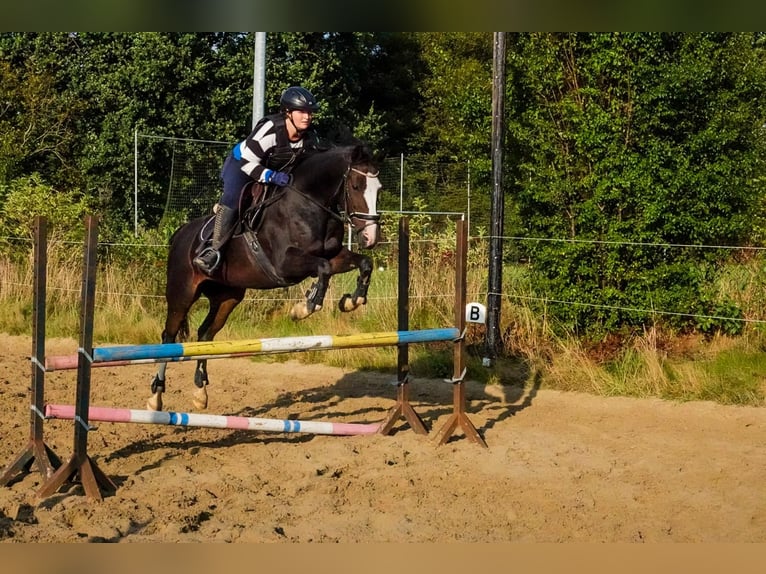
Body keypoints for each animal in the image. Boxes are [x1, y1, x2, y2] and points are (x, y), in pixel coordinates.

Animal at [147, 144, 383, 411]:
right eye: (356, 185)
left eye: (379, 189)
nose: (370, 237)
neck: (309, 203)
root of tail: (179, 234)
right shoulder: (285, 264)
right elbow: (322, 268)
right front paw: (305, 306)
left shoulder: (334, 255)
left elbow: (364, 263)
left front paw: (353, 301)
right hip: (182, 294)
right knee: (169, 337)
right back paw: (156, 396)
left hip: (227, 298)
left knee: (206, 334)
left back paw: (200, 392)